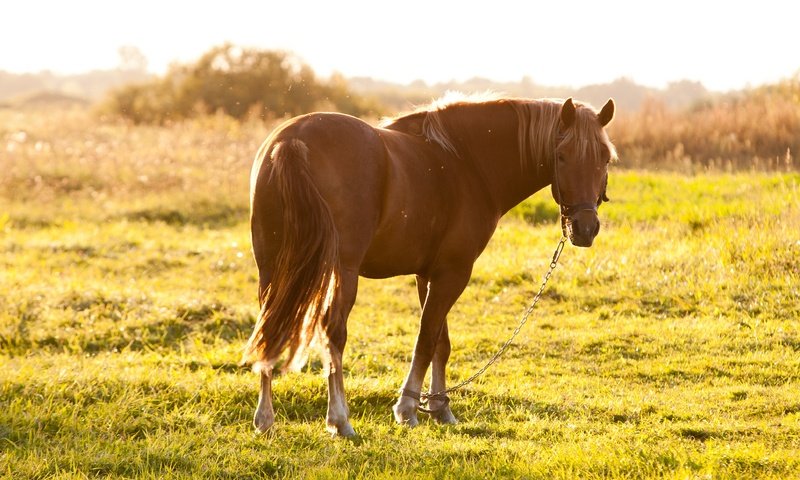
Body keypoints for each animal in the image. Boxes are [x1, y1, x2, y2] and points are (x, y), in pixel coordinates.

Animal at [241, 93, 616, 436]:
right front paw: (408, 409)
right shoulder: (454, 272)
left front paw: (439, 408)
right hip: (341, 271)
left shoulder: (429, 274)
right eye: (562, 156)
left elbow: (440, 343)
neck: (466, 162)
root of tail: (291, 142)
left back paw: (265, 418)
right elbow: (426, 338)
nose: (585, 229)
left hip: (272, 268)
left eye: (604, 157)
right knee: (333, 333)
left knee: (269, 327)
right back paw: (339, 420)